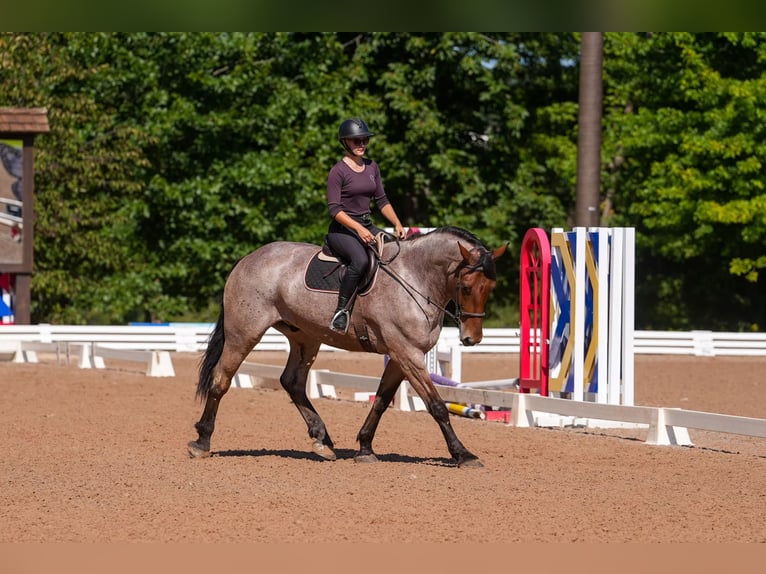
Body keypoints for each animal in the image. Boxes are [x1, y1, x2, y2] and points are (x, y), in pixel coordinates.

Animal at [188, 226, 507, 467]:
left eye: (490, 287)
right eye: (466, 287)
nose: (472, 339)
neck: (415, 279)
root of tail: (247, 259)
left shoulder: (400, 356)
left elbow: (381, 401)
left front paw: (365, 448)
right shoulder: (408, 354)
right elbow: (437, 405)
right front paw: (463, 454)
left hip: (305, 337)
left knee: (292, 382)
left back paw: (322, 440)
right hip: (244, 333)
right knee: (221, 379)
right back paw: (202, 441)